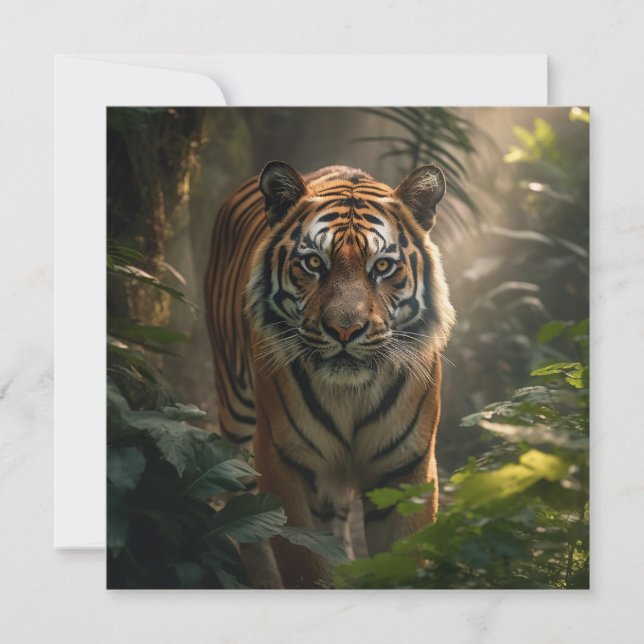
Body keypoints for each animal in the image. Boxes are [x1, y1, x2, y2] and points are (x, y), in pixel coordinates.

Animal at [204, 161, 455, 588]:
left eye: (382, 266)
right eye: (313, 264)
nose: (344, 329)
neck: (350, 393)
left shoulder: (407, 466)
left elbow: (406, 561)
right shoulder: (283, 460)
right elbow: (305, 562)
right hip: (236, 413)